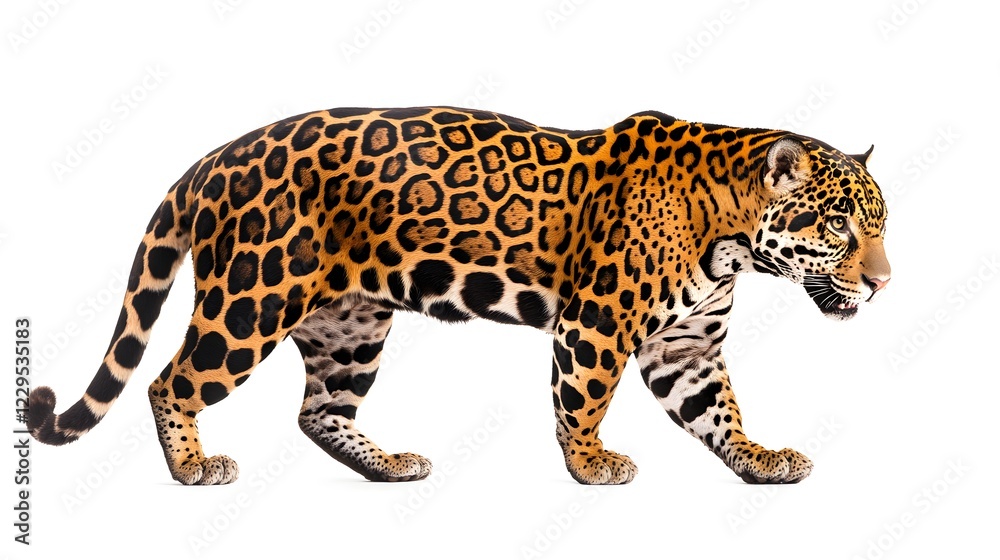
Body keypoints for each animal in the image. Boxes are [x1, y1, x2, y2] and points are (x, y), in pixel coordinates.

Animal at [28, 106, 891, 486]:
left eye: (880, 225)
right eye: (839, 225)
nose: (883, 284)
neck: (730, 237)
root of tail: (211, 159)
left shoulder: (687, 346)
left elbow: (718, 409)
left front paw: (759, 457)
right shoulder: (596, 324)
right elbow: (583, 399)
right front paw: (591, 464)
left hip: (351, 322)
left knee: (319, 411)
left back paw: (387, 464)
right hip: (253, 299)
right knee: (170, 381)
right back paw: (192, 466)